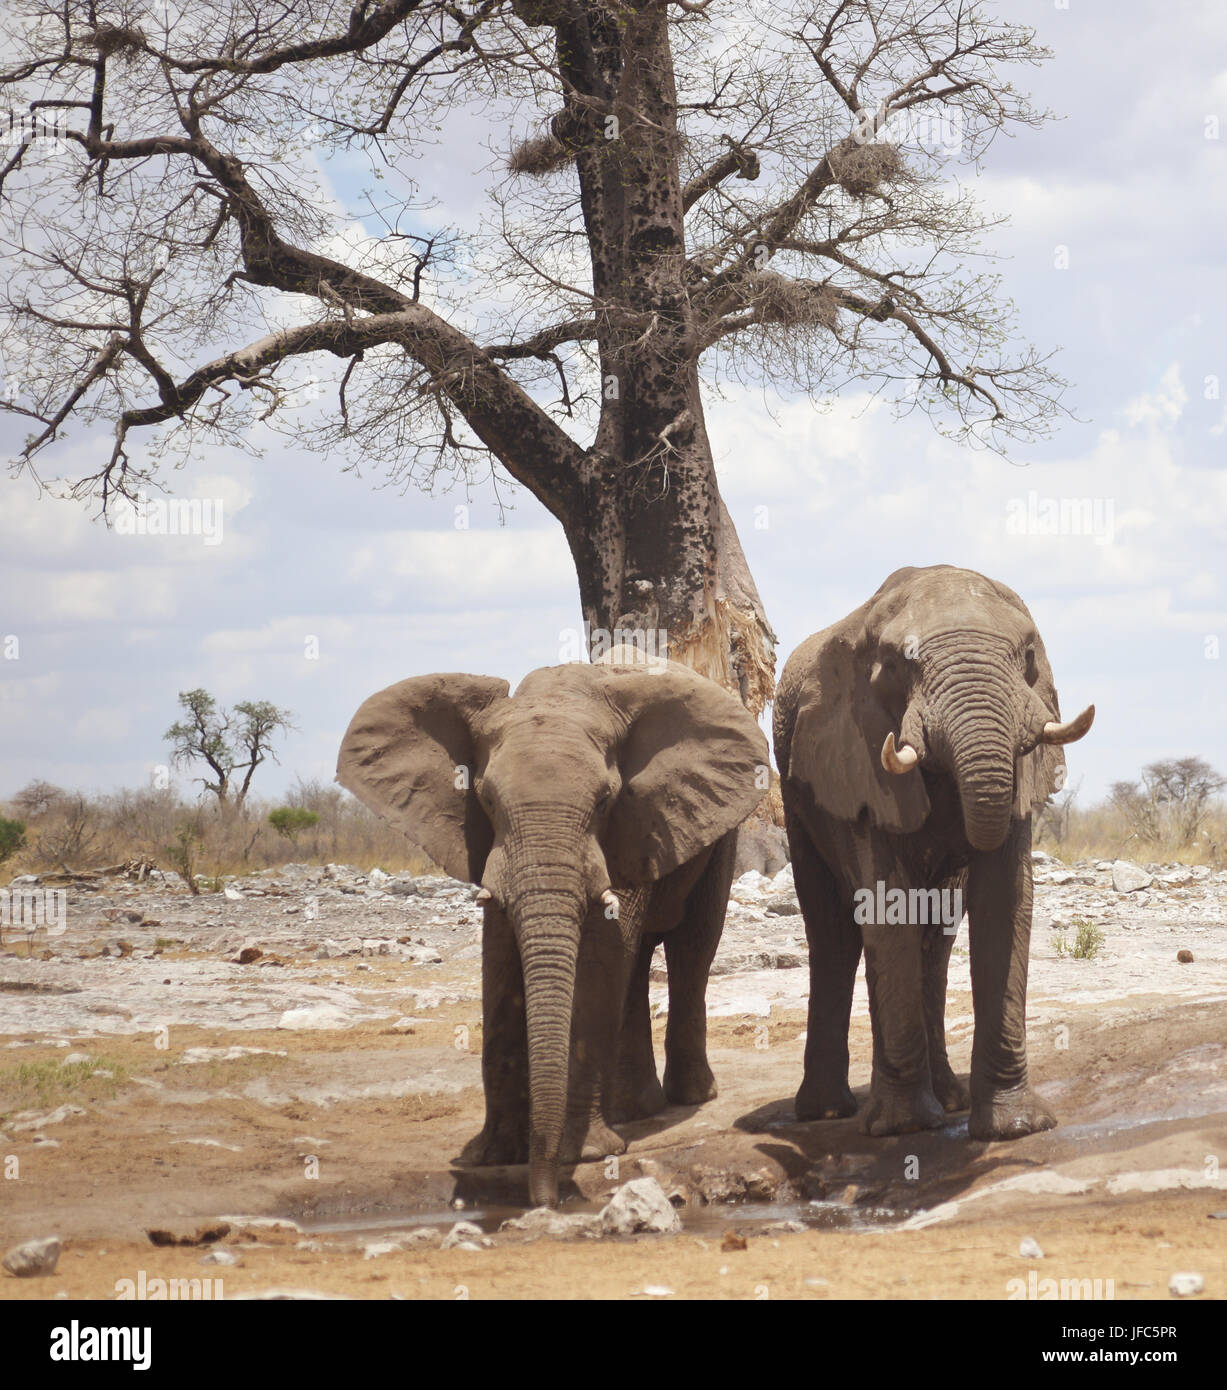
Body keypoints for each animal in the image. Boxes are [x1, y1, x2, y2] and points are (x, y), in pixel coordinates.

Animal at [330, 650, 761, 1206]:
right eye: (487, 799)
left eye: (605, 801)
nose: (546, 1200)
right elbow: (500, 959)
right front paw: (494, 1156)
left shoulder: (633, 822)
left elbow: (599, 959)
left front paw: (586, 1154)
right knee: (639, 963)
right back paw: (633, 1111)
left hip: (721, 838)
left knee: (691, 949)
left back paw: (686, 1098)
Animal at [778, 564, 1094, 1139]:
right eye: (899, 665)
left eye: (1026, 656)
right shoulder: (855, 756)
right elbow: (887, 907)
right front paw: (903, 1128)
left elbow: (1003, 902)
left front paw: (1015, 1127)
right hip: (796, 802)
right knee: (834, 937)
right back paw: (830, 1112)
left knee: (935, 943)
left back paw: (947, 1099)